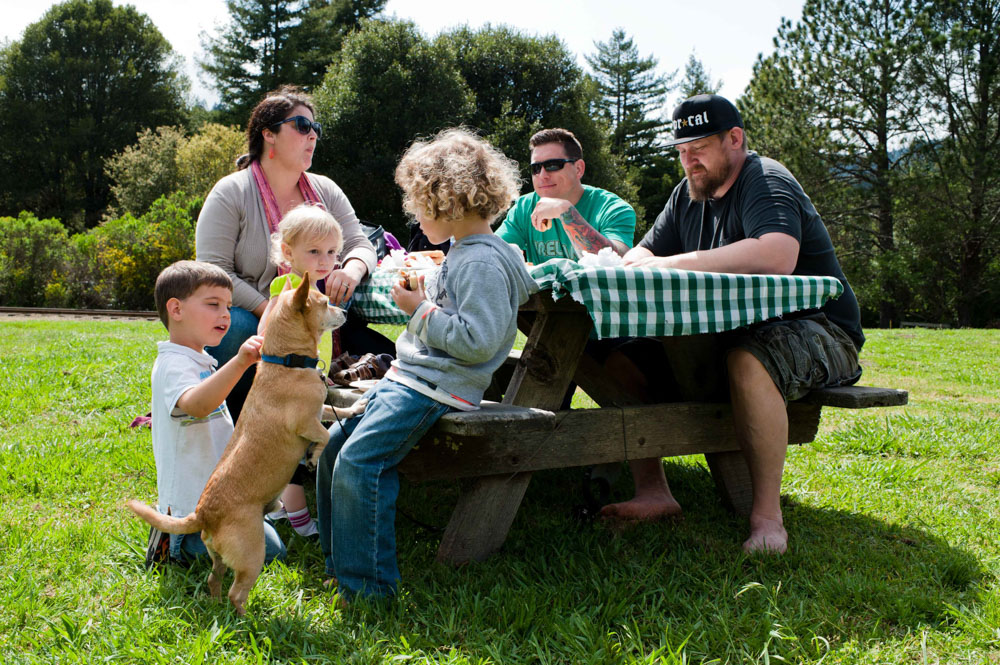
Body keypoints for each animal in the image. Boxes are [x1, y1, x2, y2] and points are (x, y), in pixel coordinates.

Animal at [127, 272, 366, 616]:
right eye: (324, 303)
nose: (345, 313)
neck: (286, 361)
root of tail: (203, 514)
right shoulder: (304, 423)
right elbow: (321, 435)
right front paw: (313, 457)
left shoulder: (318, 410)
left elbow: (336, 411)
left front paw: (356, 406)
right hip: (253, 557)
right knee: (236, 593)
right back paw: (248, 620)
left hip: (219, 558)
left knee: (214, 579)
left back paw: (216, 605)